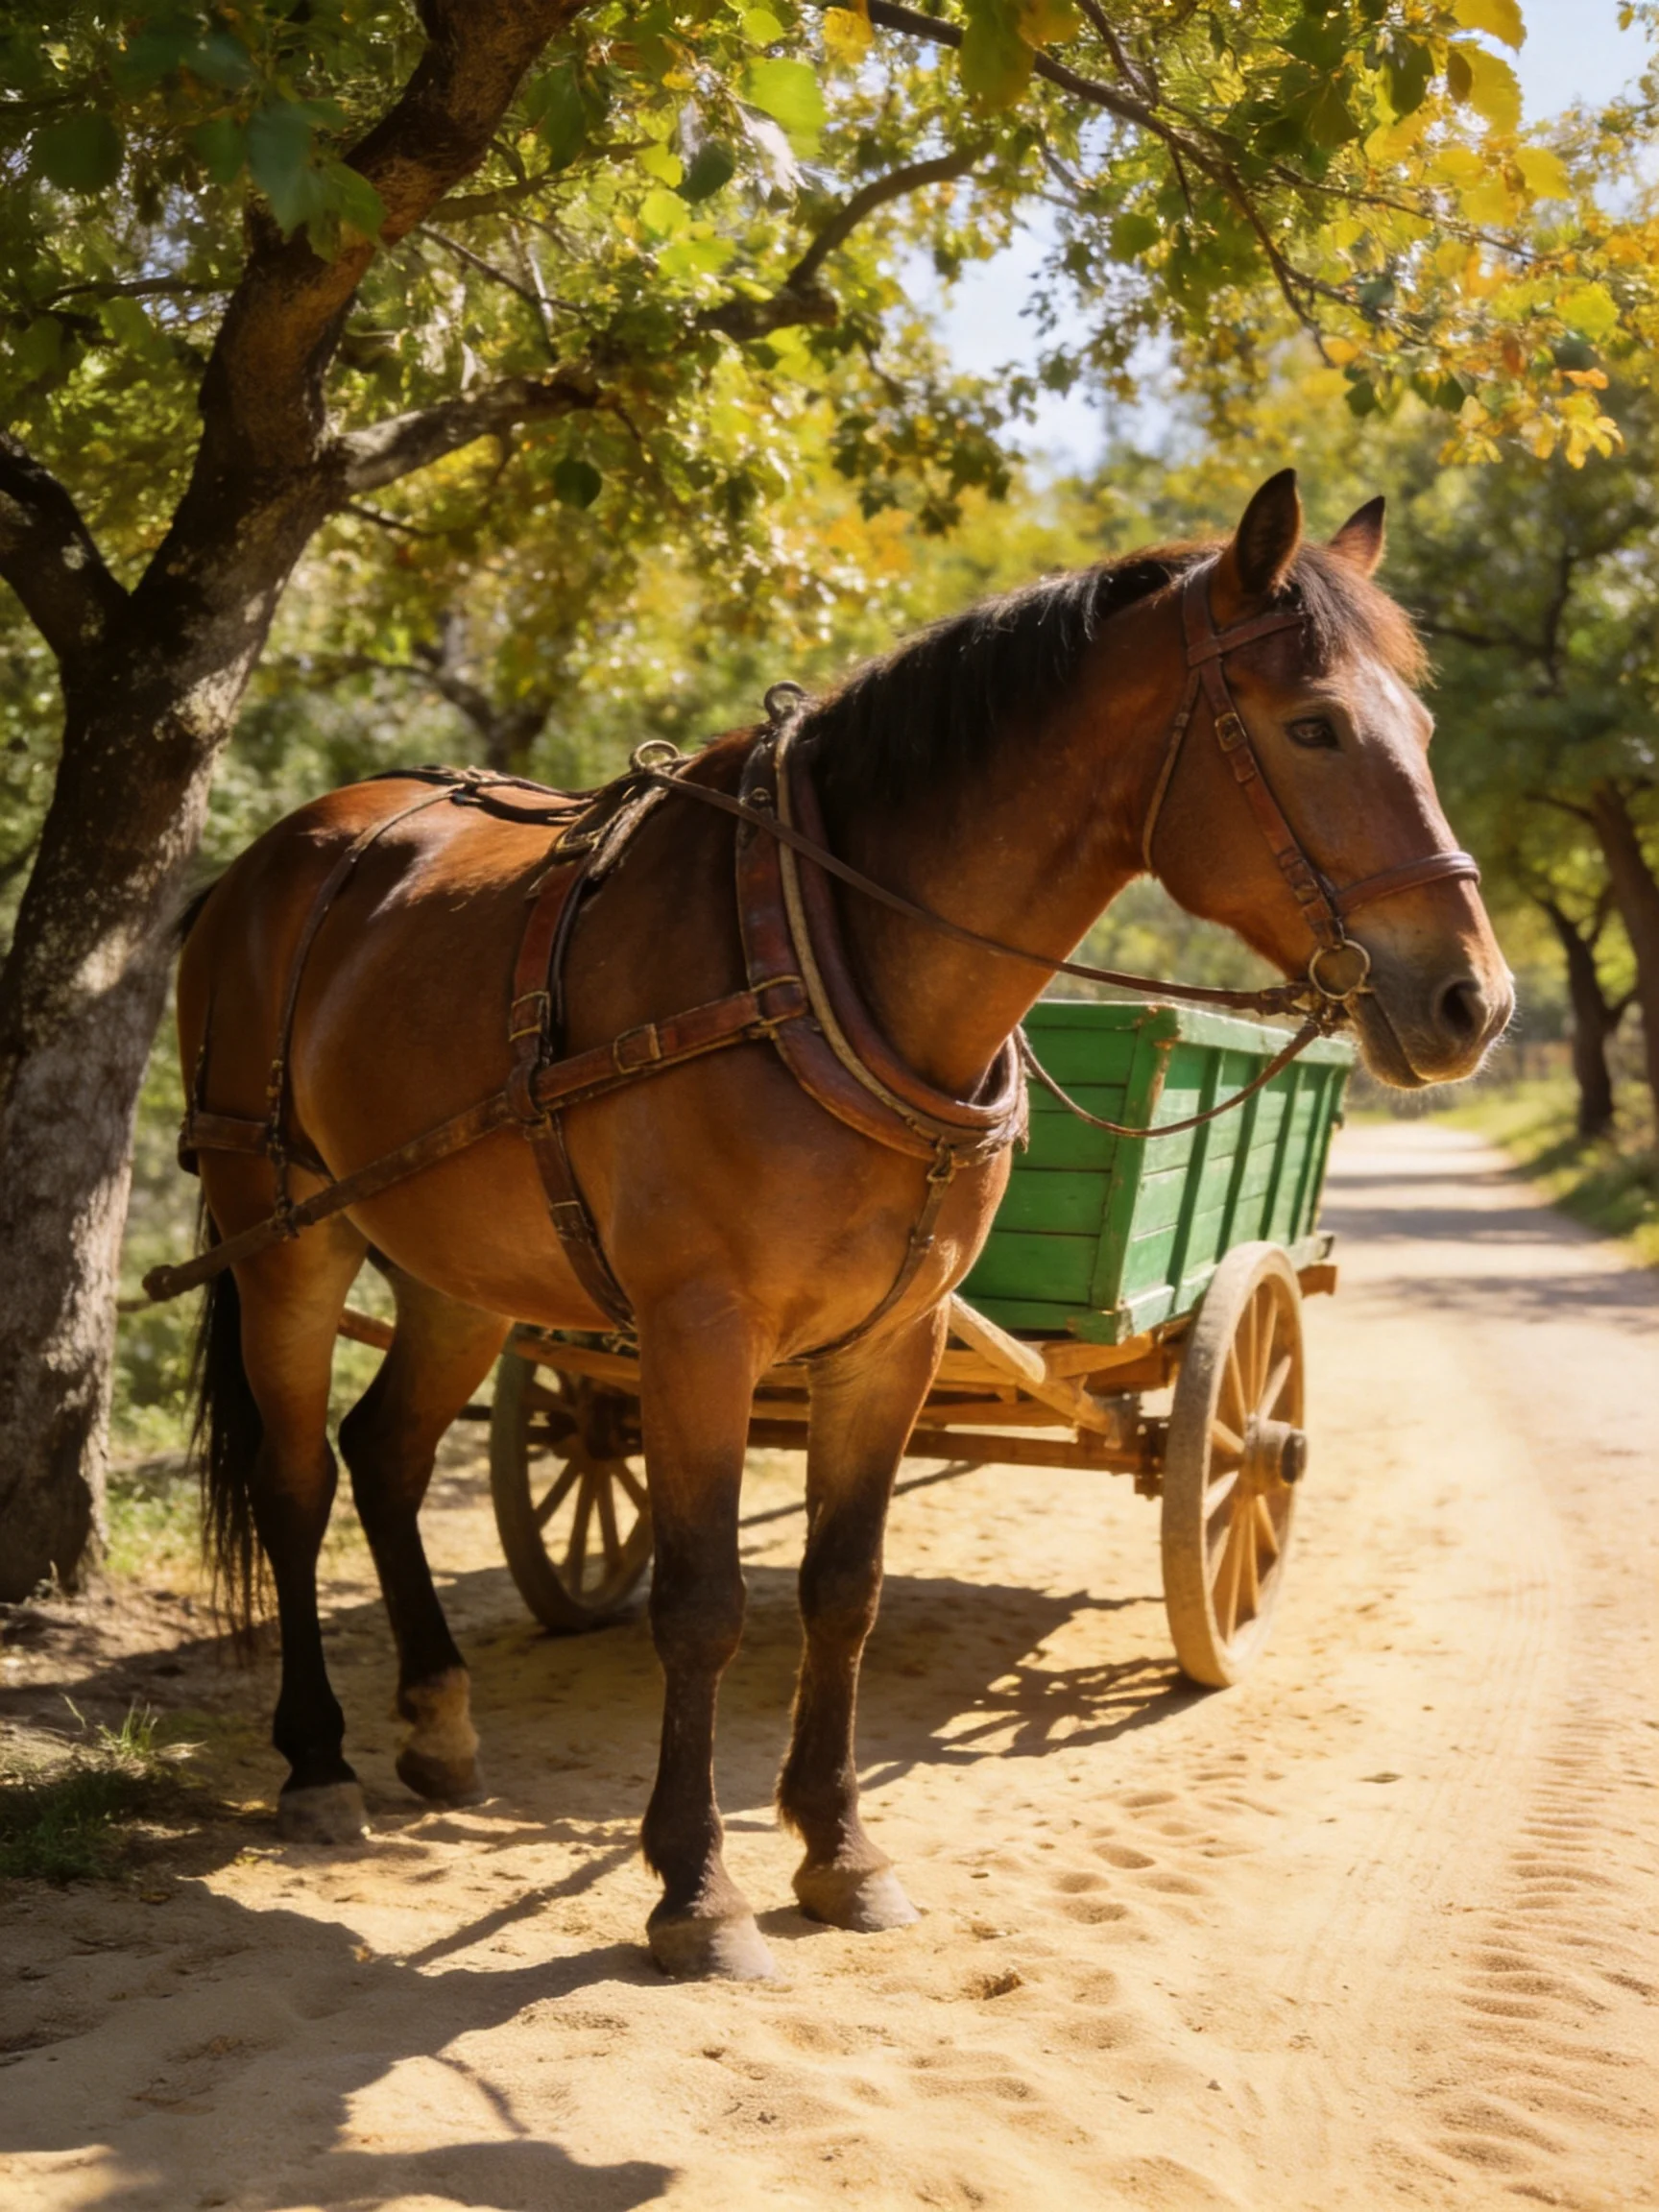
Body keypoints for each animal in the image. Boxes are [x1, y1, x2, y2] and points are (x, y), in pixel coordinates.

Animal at [175, 470, 1511, 1980]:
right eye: (1314, 723)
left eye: (1422, 730)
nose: (1476, 1001)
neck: (821, 959)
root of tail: (270, 863)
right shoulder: (701, 1335)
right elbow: (705, 1603)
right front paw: (696, 1889)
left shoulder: (896, 1342)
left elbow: (843, 1587)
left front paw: (839, 1850)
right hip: (287, 1238)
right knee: (299, 1481)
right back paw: (316, 1763)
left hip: (460, 1270)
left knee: (388, 1457)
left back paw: (440, 1726)